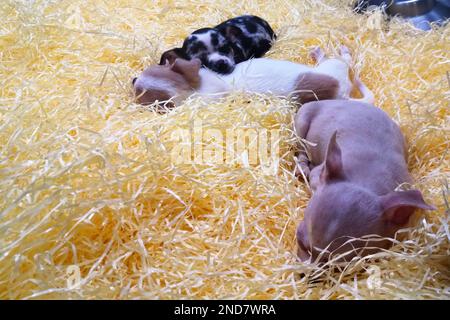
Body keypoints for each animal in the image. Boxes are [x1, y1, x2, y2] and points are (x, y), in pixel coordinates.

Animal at [132, 45, 374, 107]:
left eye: (149, 70)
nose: (132, 79)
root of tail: (343, 94)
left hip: (333, 67)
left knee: (345, 59)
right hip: (331, 69)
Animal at [294, 100, 434, 262]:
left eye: (341, 265)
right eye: (299, 241)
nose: (306, 270)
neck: (365, 182)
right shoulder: (318, 174)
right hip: (302, 123)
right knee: (301, 147)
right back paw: (302, 167)